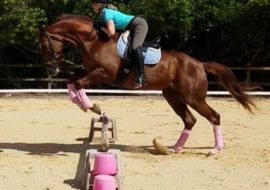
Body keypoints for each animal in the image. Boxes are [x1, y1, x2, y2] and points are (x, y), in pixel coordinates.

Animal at [37, 15, 255, 154]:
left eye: (44, 43)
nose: (50, 69)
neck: (93, 41)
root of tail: (200, 63)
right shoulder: (89, 71)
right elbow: (72, 82)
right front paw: (89, 106)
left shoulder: (105, 74)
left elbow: (78, 83)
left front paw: (91, 106)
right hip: (173, 97)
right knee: (190, 120)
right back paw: (175, 148)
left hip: (193, 97)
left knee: (214, 117)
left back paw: (215, 149)